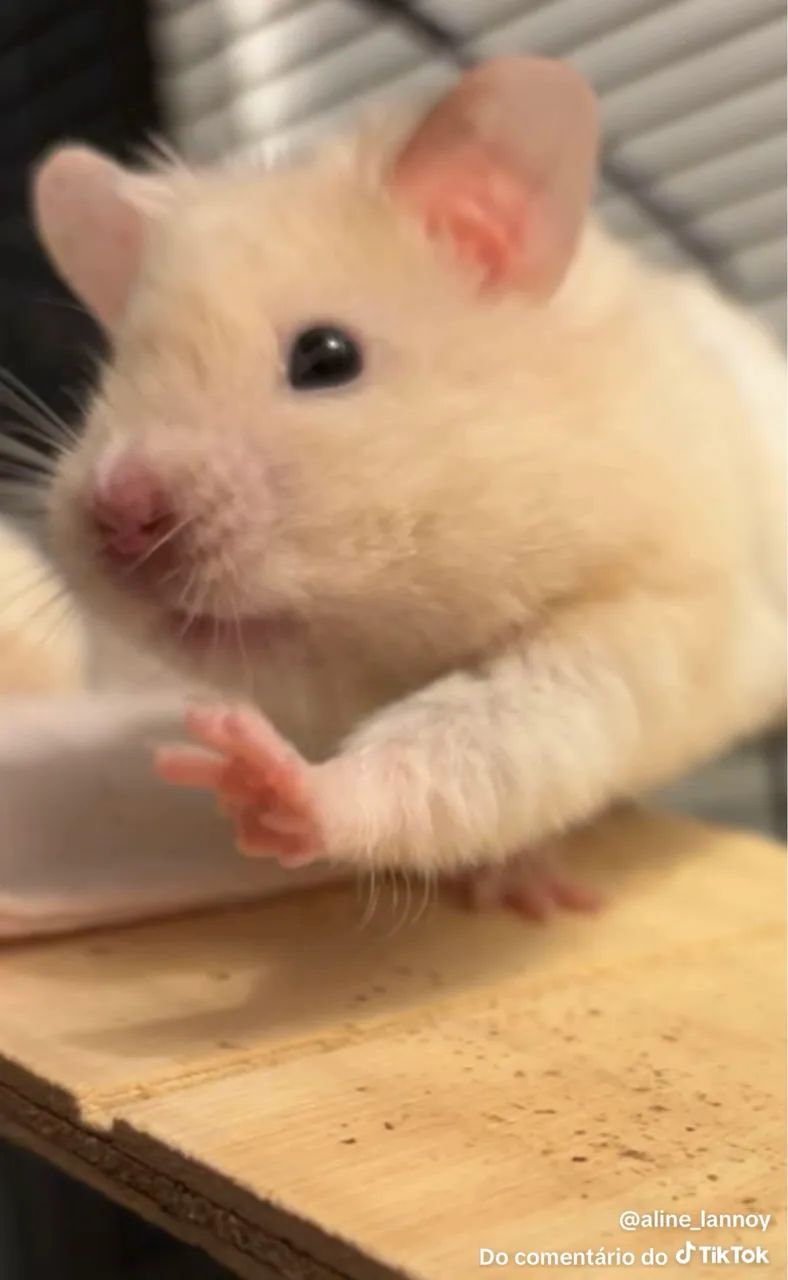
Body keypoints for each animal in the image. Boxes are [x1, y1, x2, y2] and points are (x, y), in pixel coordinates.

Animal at [30, 58, 786, 916]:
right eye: (108, 379)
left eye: (326, 357)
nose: (120, 513)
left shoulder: (636, 615)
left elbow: (474, 749)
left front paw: (261, 786)